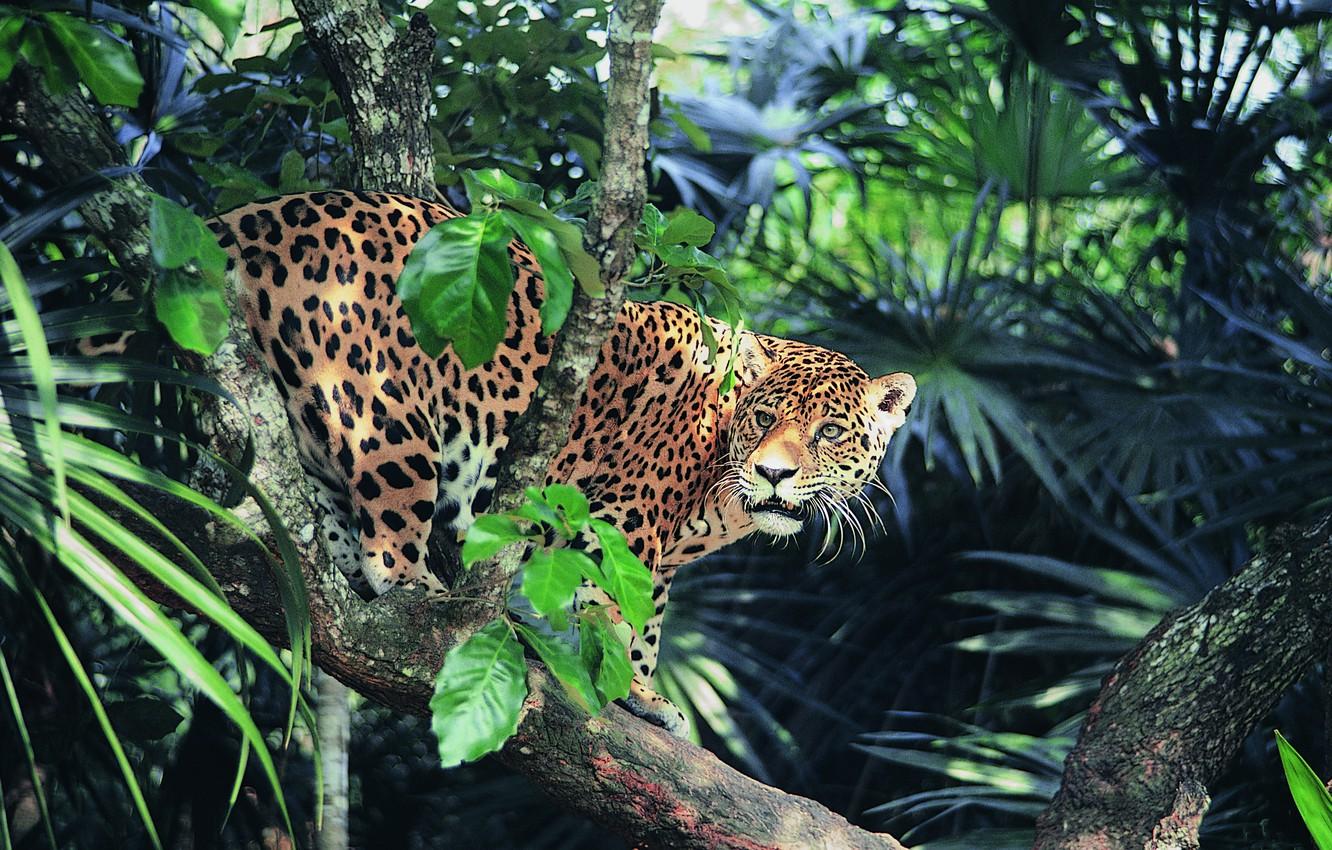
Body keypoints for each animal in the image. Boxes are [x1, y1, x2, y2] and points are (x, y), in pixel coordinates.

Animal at [208, 189, 916, 736]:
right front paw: (630, 690)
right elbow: (616, 609)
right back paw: (439, 607)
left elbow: (649, 627)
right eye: (766, 420)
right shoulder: (627, 517)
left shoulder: (661, 562)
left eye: (828, 433)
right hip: (387, 422)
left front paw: (647, 692)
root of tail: (254, 215)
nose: (774, 474)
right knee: (389, 560)